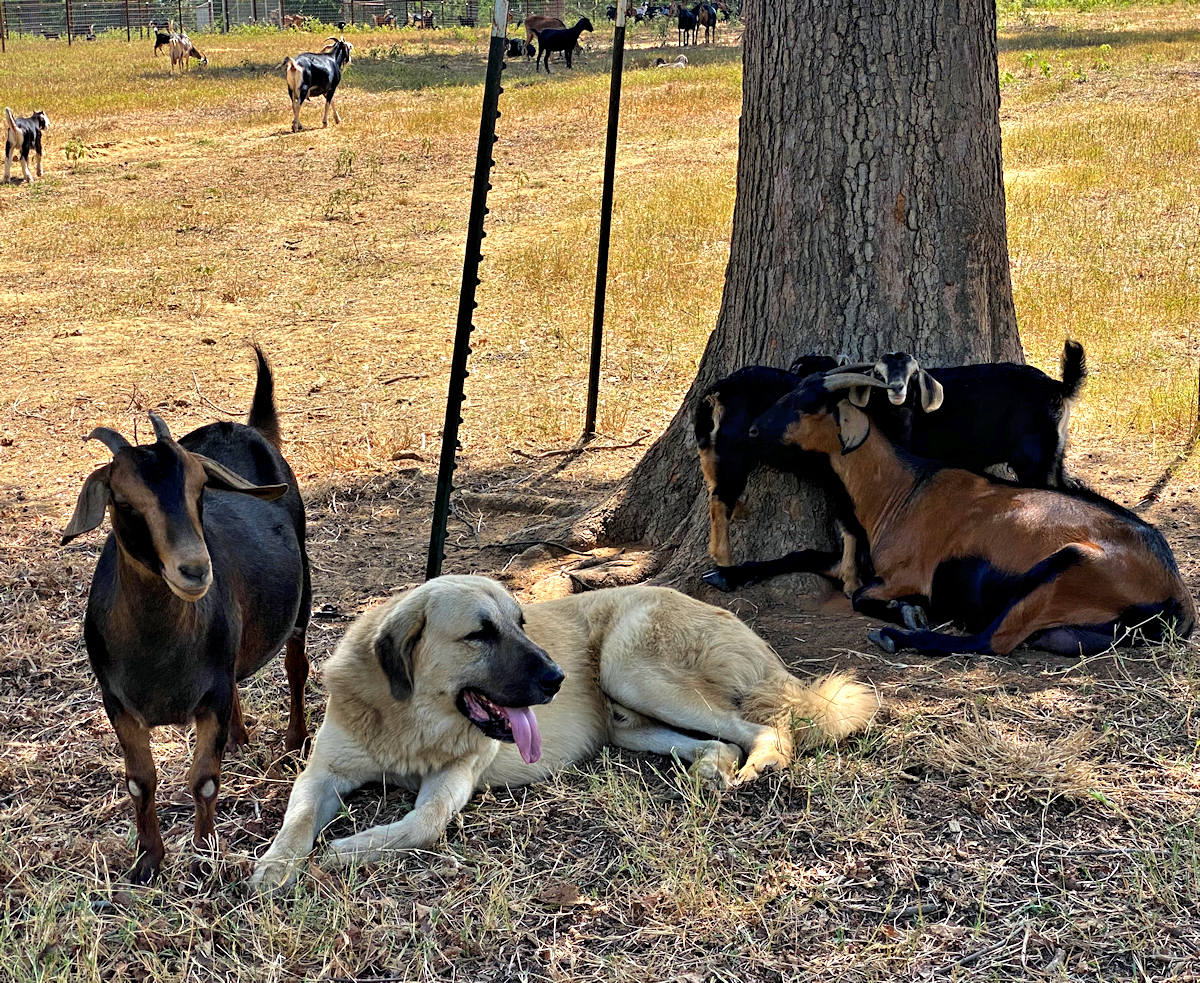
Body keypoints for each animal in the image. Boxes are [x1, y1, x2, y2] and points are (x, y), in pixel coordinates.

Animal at [62, 350, 309, 888]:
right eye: (123, 501)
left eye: (199, 491)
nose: (195, 569)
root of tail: (242, 426)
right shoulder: (117, 702)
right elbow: (140, 782)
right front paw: (147, 861)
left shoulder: (209, 695)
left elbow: (205, 780)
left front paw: (202, 854)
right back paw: (239, 737)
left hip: (302, 595)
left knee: (296, 667)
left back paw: (295, 742)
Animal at [248, 576, 878, 892]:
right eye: (480, 633)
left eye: (521, 622)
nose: (556, 678)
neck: (410, 717)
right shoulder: (323, 771)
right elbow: (297, 819)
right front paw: (275, 866)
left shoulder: (453, 780)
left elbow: (421, 824)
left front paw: (347, 850)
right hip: (627, 721)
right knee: (719, 741)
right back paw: (708, 771)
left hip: (633, 670)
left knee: (767, 727)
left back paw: (761, 765)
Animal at [744, 369, 1195, 662]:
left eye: (806, 404)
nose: (751, 431)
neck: (901, 492)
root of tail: (1178, 597)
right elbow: (804, 556)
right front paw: (732, 574)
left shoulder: (909, 575)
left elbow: (860, 596)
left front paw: (909, 613)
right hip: (1069, 627)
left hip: (1065, 570)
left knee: (991, 642)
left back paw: (894, 637)